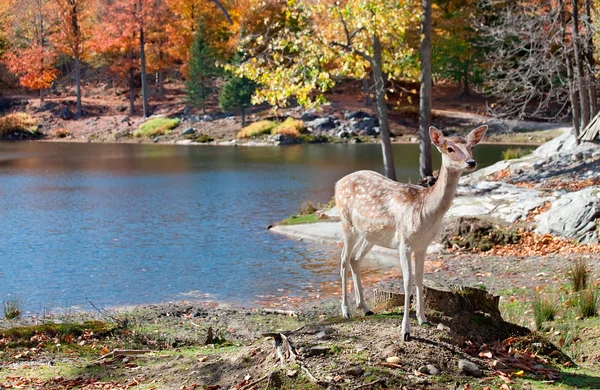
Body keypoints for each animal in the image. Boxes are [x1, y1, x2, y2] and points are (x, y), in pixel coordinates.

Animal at [332, 125, 488, 342]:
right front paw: (405, 331)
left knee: (355, 259)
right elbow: (407, 282)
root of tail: (338, 183)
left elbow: (420, 279)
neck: (426, 211)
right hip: (347, 223)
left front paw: (423, 318)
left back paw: (365, 307)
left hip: (370, 234)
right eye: (450, 148)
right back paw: (346, 310)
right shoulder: (404, 243)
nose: (471, 162)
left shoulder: (423, 245)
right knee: (343, 260)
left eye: (471, 147)